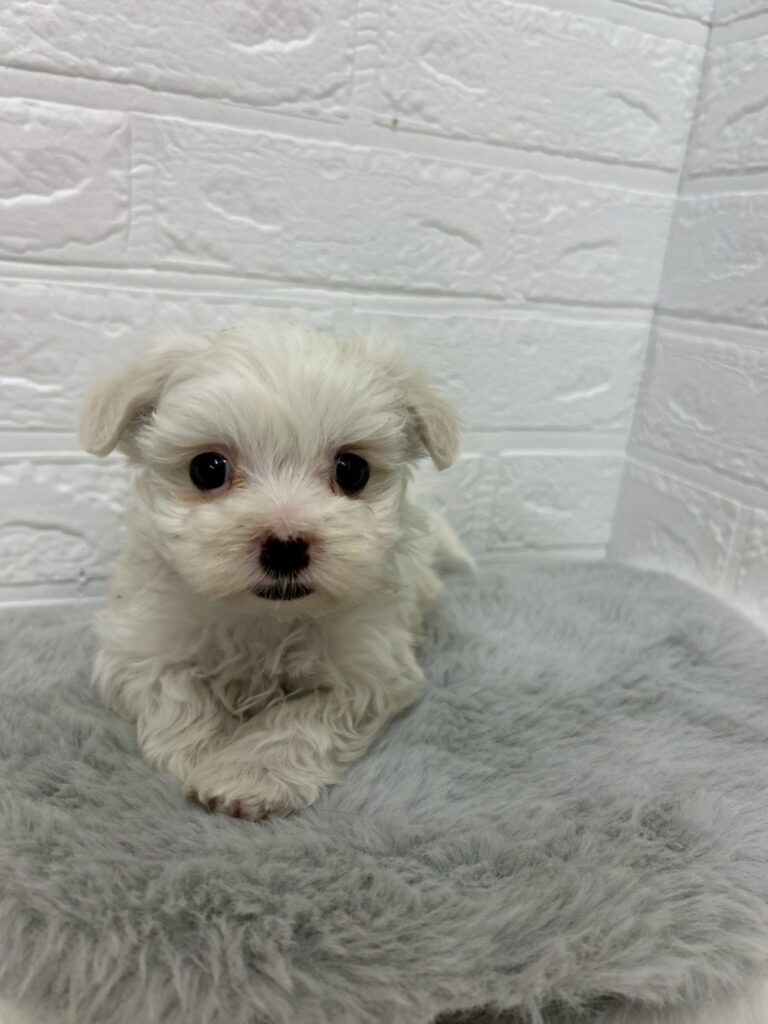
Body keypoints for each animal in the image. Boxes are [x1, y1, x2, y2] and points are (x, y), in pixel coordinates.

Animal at [79, 318, 471, 820]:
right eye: (208, 469)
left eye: (352, 469)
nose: (285, 546)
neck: (265, 618)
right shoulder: (137, 645)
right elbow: (175, 688)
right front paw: (202, 753)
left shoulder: (369, 667)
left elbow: (304, 716)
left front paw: (249, 776)